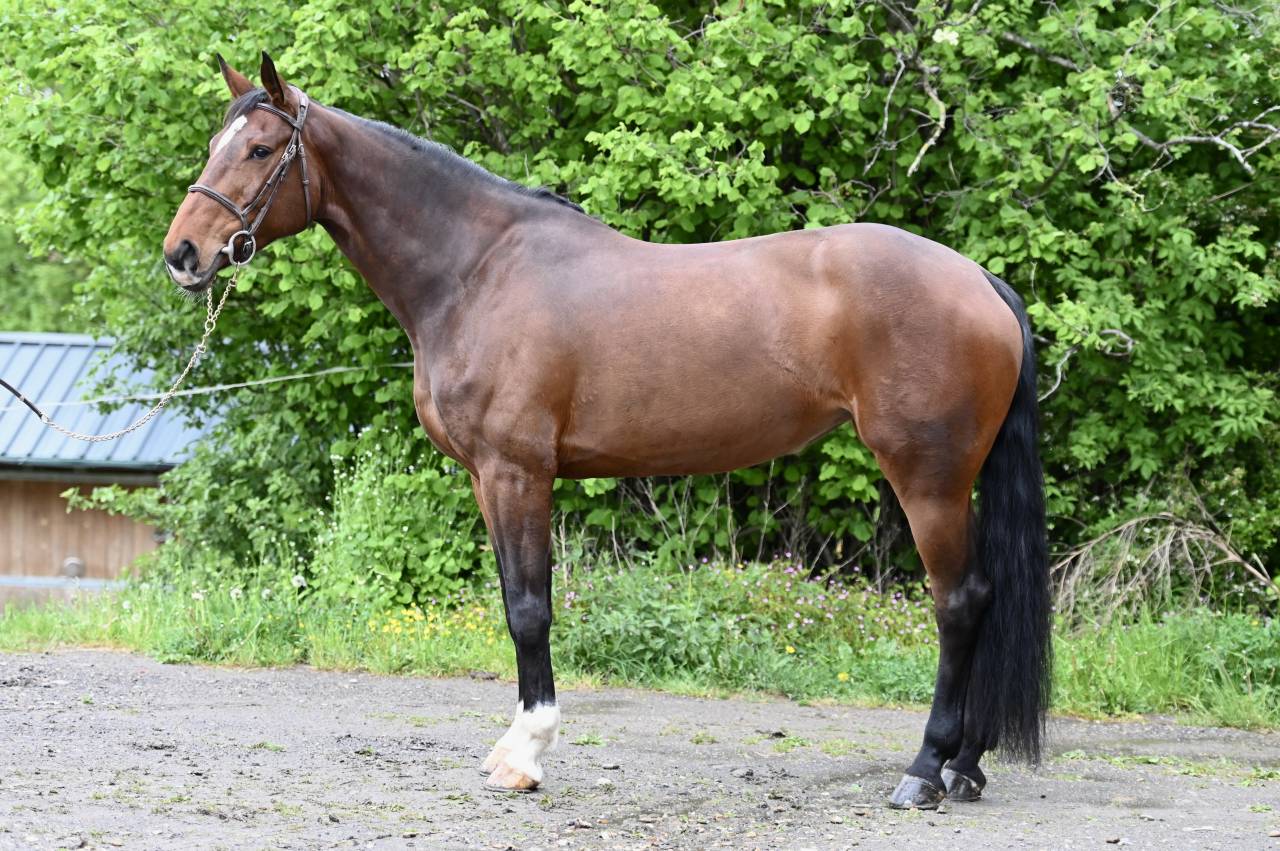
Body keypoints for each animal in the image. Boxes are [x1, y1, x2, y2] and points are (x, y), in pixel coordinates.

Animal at [163, 52, 1051, 809]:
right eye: (215, 144)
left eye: (261, 148)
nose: (184, 254)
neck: (476, 269)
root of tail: (978, 279)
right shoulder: (487, 477)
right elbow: (513, 600)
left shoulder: (517, 470)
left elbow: (529, 607)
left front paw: (525, 754)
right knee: (983, 598)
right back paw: (966, 767)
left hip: (927, 476)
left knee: (960, 601)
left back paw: (925, 771)